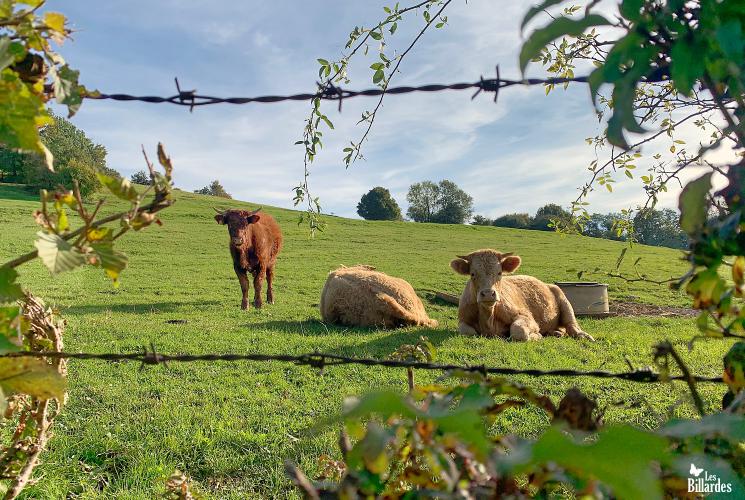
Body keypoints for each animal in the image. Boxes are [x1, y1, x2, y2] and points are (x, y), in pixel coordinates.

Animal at [450, 249, 594, 341]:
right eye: (472, 274)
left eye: (499, 273)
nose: (488, 294)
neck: (488, 318)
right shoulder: (462, 319)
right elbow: (466, 331)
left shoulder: (526, 317)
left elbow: (518, 331)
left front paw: (536, 336)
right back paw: (556, 332)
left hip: (564, 301)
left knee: (572, 324)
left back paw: (584, 335)